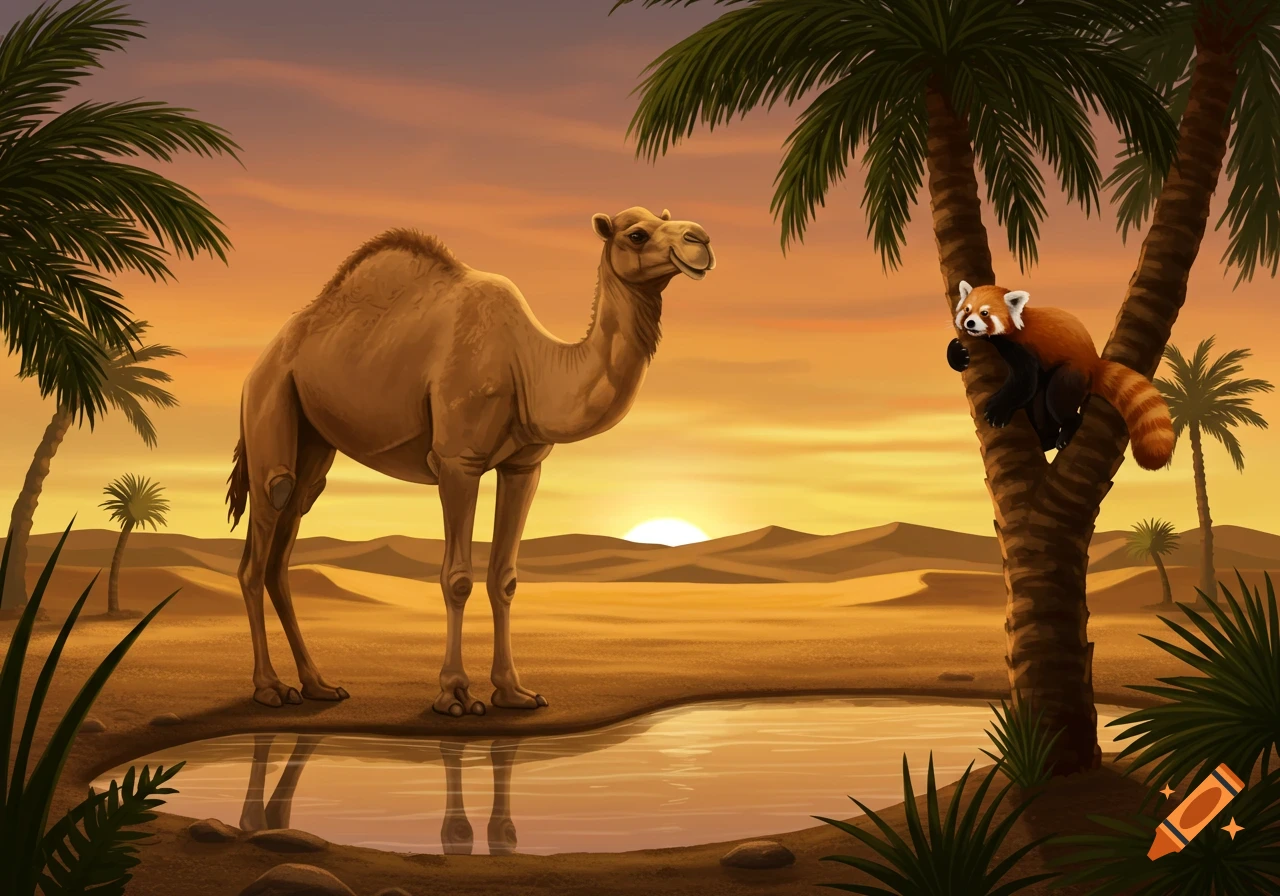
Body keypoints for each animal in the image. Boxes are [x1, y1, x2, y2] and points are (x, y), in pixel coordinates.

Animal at [225, 206, 714, 715]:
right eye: (636, 234)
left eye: (666, 217)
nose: (700, 240)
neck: (530, 364)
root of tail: (260, 361)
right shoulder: (458, 460)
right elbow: (457, 578)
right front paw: (456, 694)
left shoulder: (524, 466)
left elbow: (505, 578)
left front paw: (514, 691)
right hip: (271, 402)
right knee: (263, 532)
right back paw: (270, 687)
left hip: (314, 442)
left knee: (285, 544)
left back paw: (319, 684)